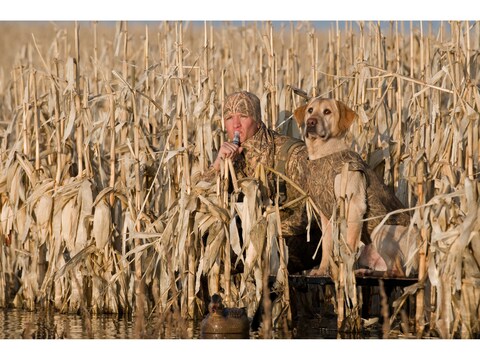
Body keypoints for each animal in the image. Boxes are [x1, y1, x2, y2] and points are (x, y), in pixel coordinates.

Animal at [292, 97, 416, 278]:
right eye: (310, 110)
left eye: (327, 111)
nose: (311, 122)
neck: (323, 154)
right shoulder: (326, 214)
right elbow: (326, 245)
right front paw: (322, 270)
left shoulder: (355, 206)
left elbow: (349, 244)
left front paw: (345, 272)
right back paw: (365, 271)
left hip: (381, 230)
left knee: (399, 271)